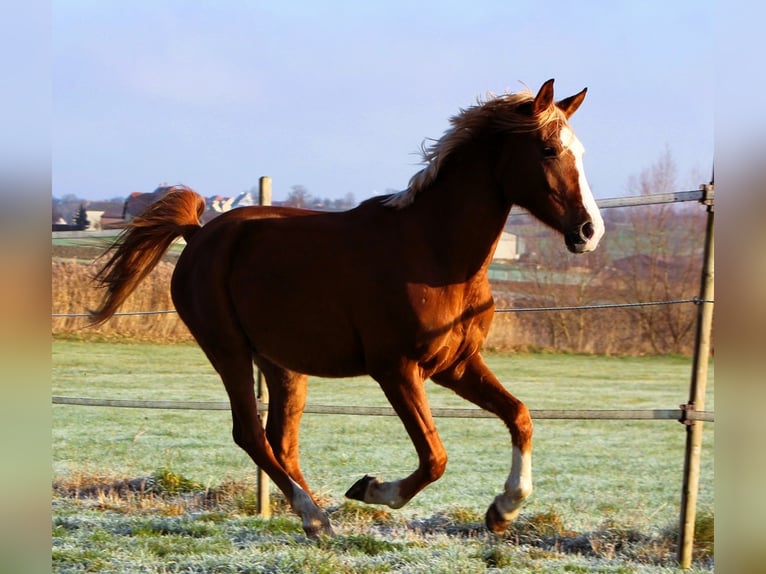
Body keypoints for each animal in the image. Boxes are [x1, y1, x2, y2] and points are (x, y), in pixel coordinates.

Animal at [91, 79, 604, 538]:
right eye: (548, 150)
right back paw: (315, 517)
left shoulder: (455, 364)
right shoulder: (396, 369)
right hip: (228, 350)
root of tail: (199, 233)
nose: (588, 231)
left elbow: (519, 415)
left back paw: (315, 519)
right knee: (250, 434)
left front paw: (502, 511)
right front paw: (371, 488)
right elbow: (435, 457)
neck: (435, 254)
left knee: (281, 442)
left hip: (281, 364)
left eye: (580, 152)